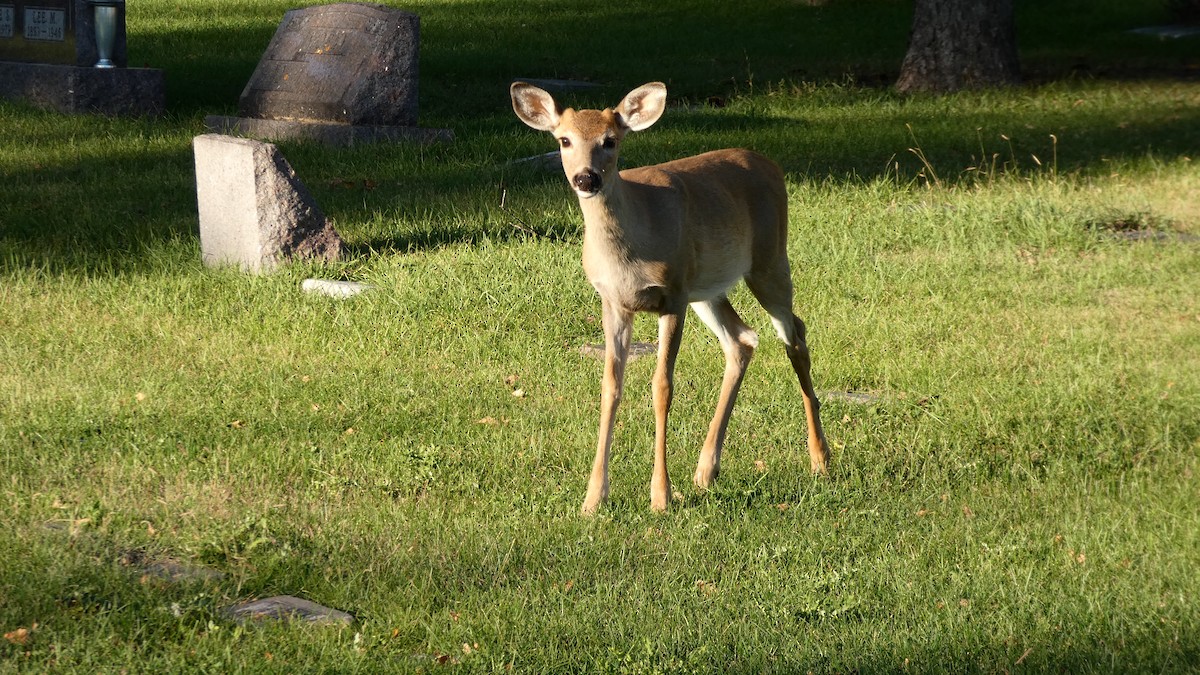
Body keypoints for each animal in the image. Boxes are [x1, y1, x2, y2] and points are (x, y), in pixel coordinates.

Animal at [510, 81, 829, 515]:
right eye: (564, 140)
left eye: (610, 140)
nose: (586, 178)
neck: (631, 249)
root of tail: (771, 164)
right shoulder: (613, 302)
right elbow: (610, 387)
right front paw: (593, 498)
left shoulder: (673, 295)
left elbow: (662, 387)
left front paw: (660, 495)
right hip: (707, 288)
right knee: (743, 339)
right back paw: (706, 470)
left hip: (768, 260)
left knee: (795, 336)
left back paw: (820, 458)